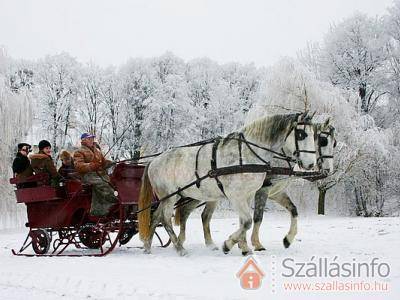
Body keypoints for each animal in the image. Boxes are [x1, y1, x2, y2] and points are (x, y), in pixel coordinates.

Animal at [139, 112, 318, 255]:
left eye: (314, 135)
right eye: (301, 134)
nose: (311, 164)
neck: (246, 155)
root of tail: (154, 160)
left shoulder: (248, 195)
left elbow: (245, 221)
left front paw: (244, 247)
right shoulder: (237, 195)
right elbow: (248, 221)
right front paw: (229, 244)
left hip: (174, 196)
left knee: (156, 216)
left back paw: (148, 246)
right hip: (169, 196)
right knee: (165, 219)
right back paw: (179, 248)